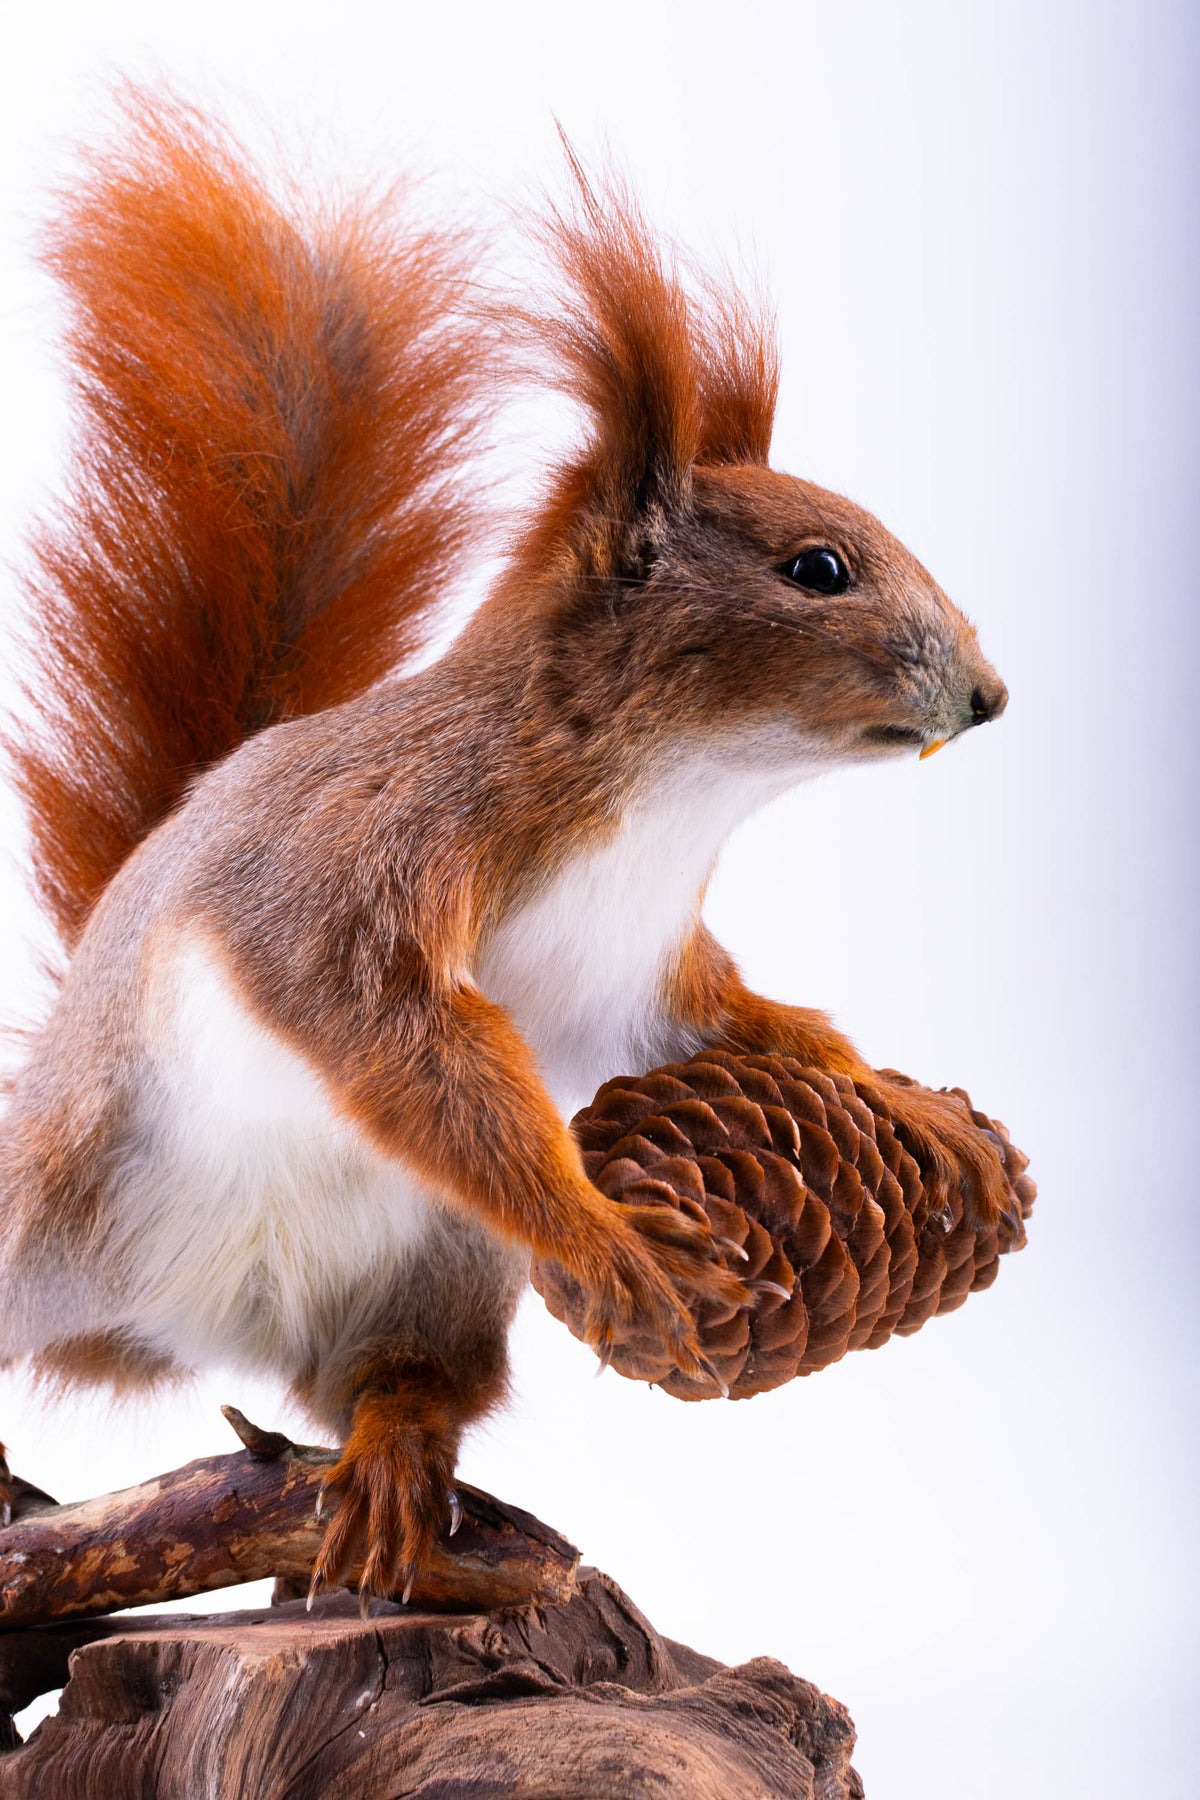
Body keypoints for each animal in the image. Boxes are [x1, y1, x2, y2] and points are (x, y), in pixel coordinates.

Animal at [0, 92, 1013, 1601]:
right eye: (818, 569)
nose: (992, 695)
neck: (666, 800)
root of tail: (182, 1323)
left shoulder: (628, 978)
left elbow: (731, 1022)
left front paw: (889, 1095)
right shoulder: (366, 855)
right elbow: (393, 1038)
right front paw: (607, 1230)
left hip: (430, 1271)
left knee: (411, 1374)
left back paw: (393, 1450)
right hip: (46, 1208)